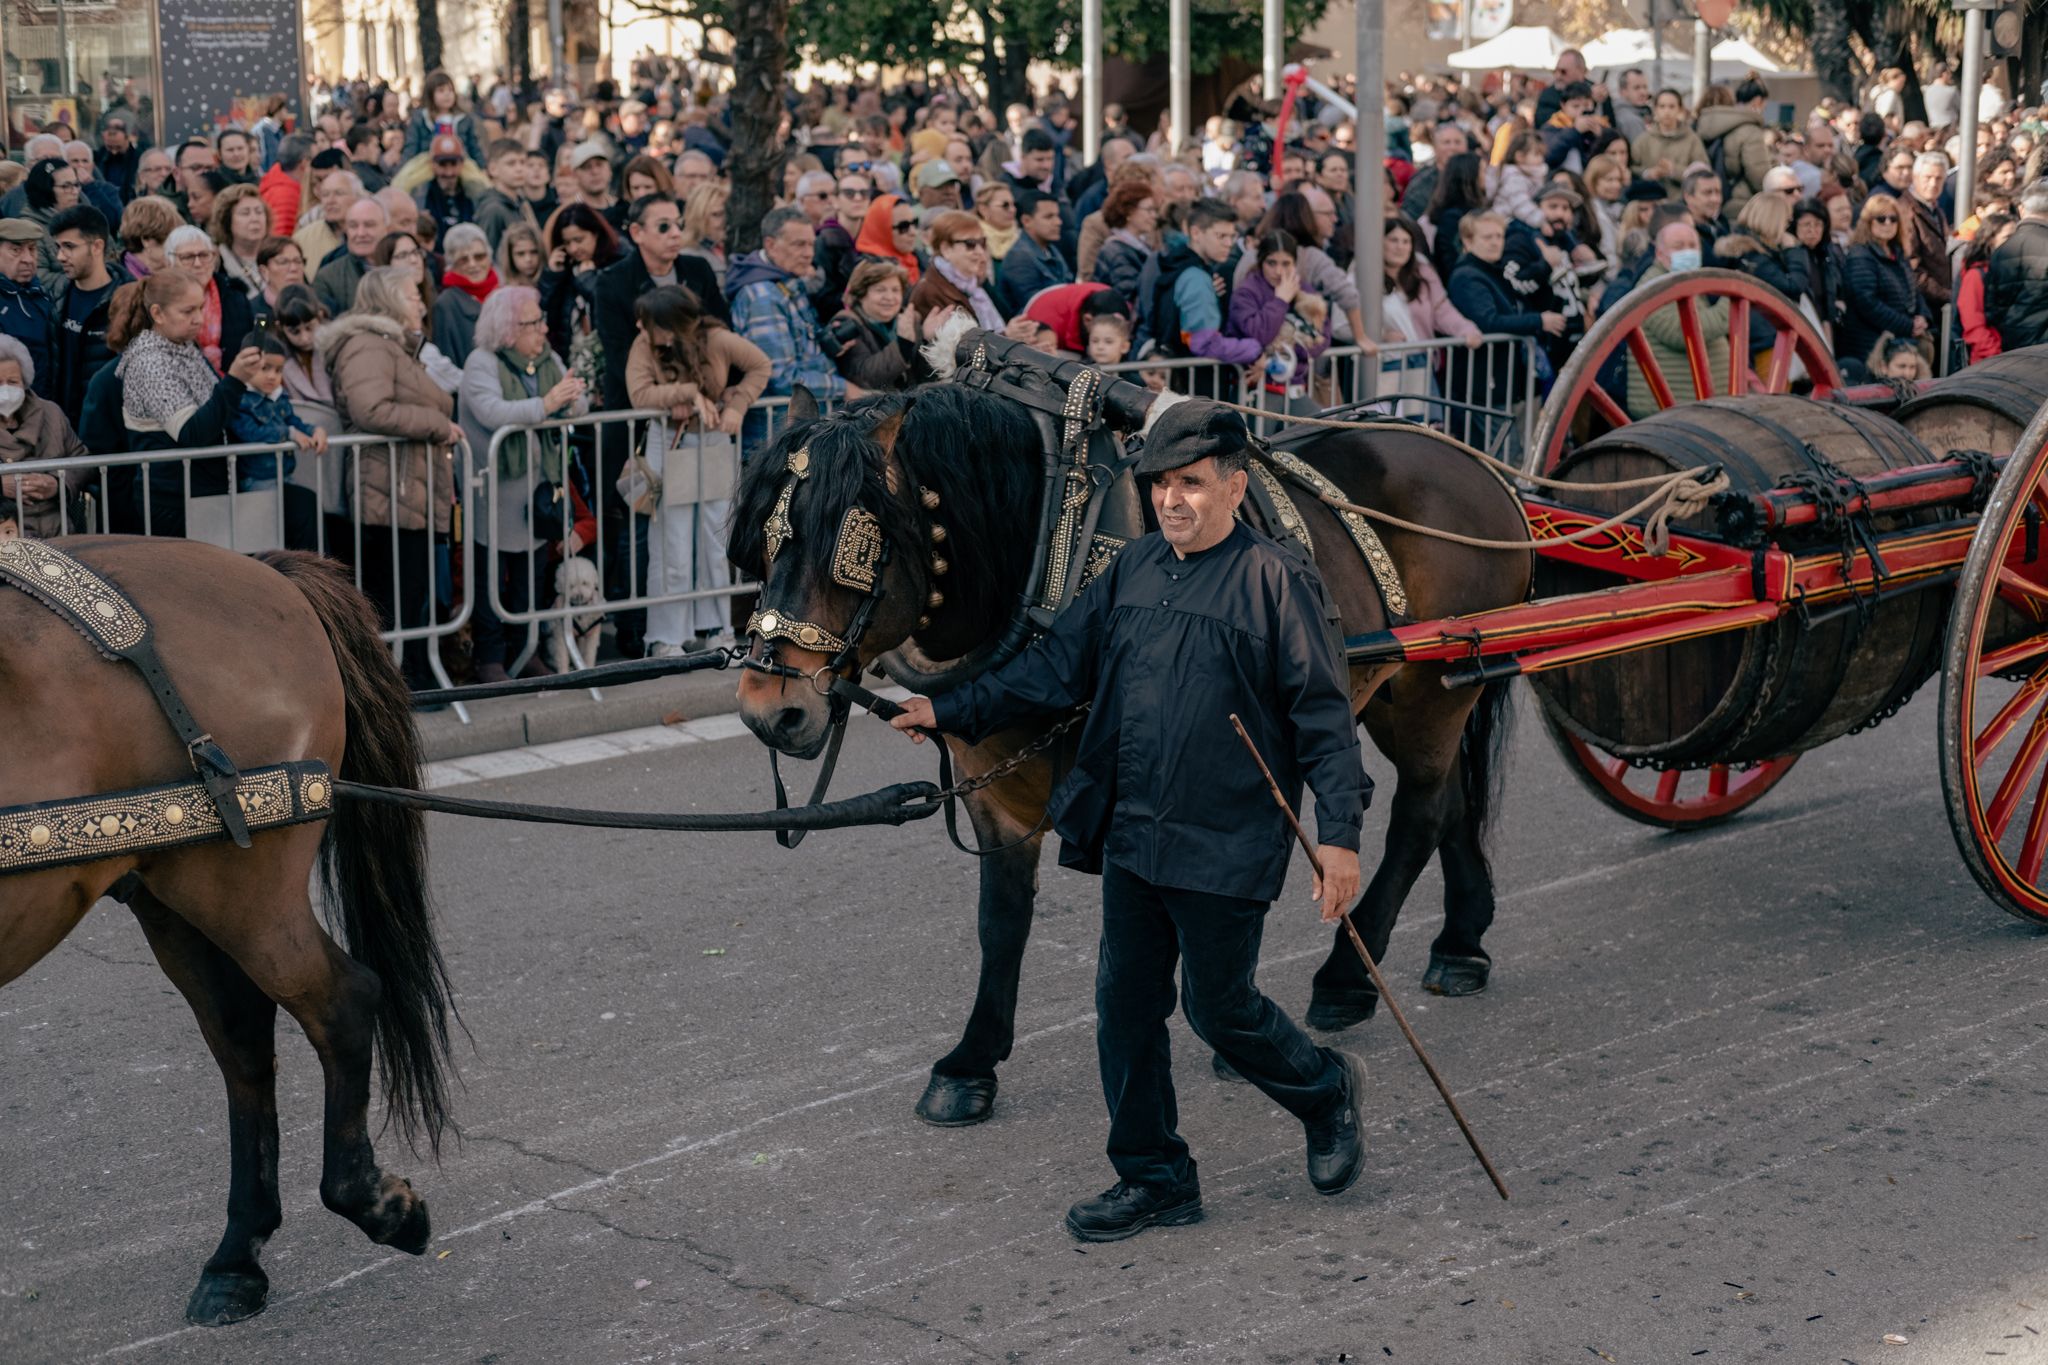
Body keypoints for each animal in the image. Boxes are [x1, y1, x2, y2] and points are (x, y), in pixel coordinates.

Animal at [0, 540, 452, 1326]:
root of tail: (266, 572)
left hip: (242, 891)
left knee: (341, 1002)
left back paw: (376, 1206)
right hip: (174, 897)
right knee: (243, 1042)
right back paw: (237, 1257)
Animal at [737, 368, 1540, 1129]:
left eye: (851, 544)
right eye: (766, 544)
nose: (767, 710)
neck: (1043, 560)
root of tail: (1475, 461)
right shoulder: (992, 786)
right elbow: (1002, 922)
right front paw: (970, 1065)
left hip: (1432, 690)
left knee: (1421, 811)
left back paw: (1345, 977)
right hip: (1413, 694)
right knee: (1450, 800)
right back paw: (1460, 944)